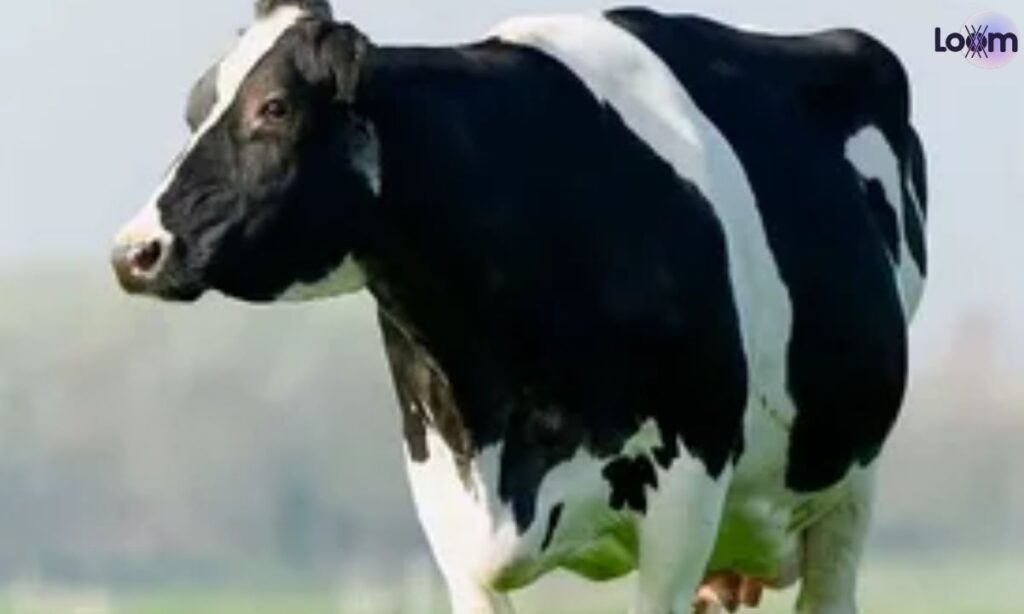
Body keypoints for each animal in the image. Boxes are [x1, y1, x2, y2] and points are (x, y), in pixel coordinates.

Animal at [111, 1, 928, 612]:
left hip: (847, 491)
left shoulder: (685, 494)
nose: (134, 252)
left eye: (274, 107)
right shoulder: (448, 513)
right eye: (195, 109)